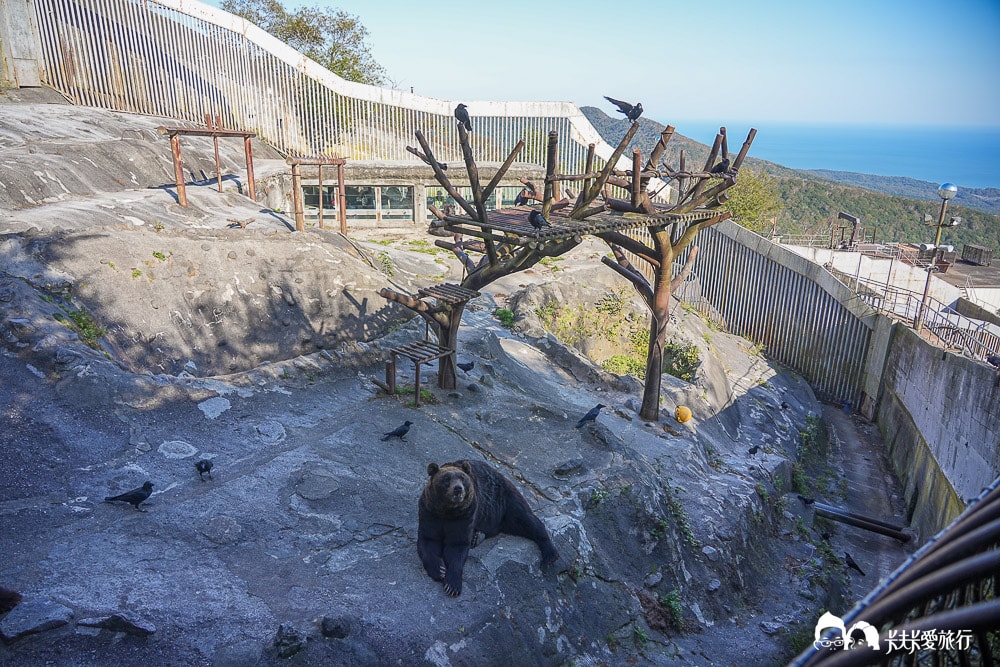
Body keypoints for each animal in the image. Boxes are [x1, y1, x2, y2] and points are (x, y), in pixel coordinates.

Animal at [417, 459, 560, 596]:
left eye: (462, 478)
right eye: (446, 478)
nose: (458, 489)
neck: (448, 511)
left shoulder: (465, 515)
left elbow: (457, 546)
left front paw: (452, 585)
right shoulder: (429, 512)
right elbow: (428, 540)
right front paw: (439, 570)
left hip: (505, 501)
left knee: (526, 519)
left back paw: (550, 555)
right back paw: (477, 537)